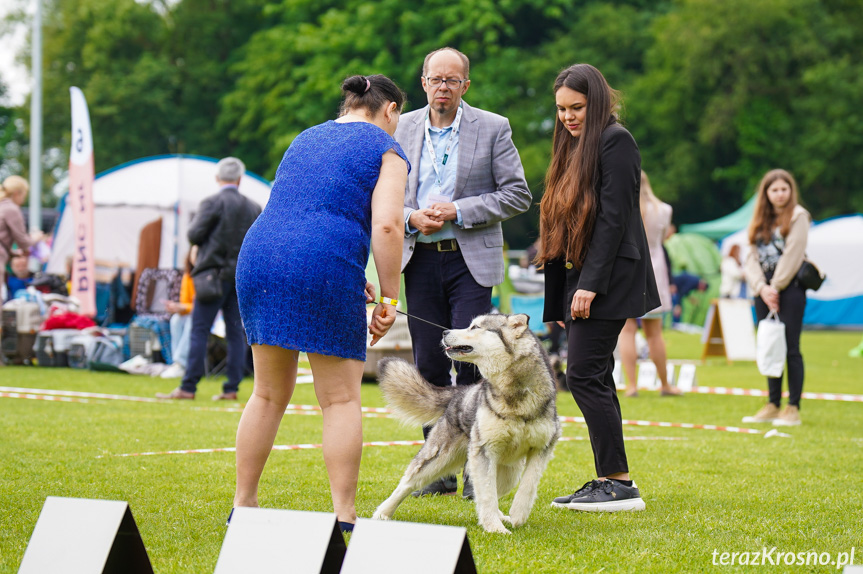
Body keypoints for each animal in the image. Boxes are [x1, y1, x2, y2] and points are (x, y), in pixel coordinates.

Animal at [372, 316, 560, 536]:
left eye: (475, 327)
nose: (444, 332)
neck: (515, 396)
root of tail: (459, 391)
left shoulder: (542, 448)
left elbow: (528, 486)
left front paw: (517, 515)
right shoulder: (484, 450)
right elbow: (487, 495)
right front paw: (494, 528)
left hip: (508, 473)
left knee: (491, 491)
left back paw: (501, 516)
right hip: (438, 458)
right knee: (407, 484)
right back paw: (383, 512)